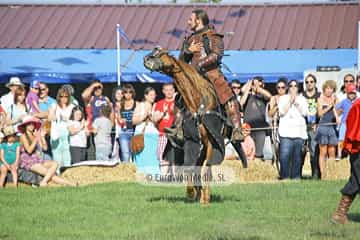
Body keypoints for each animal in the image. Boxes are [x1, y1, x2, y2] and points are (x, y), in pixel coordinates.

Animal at [143, 47, 225, 204]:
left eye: (162, 52)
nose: (146, 59)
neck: (197, 101)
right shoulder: (190, 141)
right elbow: (189, 167)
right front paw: (191, 192)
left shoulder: (211, 143)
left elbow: (206, 167)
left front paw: (204, 198)